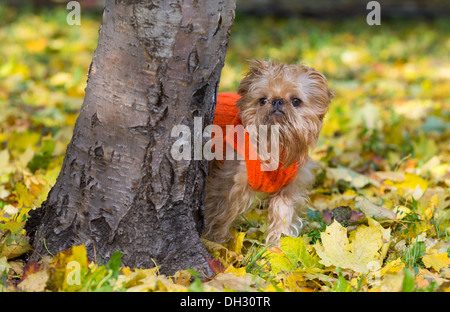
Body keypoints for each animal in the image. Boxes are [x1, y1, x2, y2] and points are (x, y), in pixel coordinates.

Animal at [202, 59, 332, 245]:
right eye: (262, 100)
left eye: (296, 101)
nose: (277, 101)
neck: (275, 144)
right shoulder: (228, 184)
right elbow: (219, 214)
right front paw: (215, 242)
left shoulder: (288, 190)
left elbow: (282, 215)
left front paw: (278, 245)